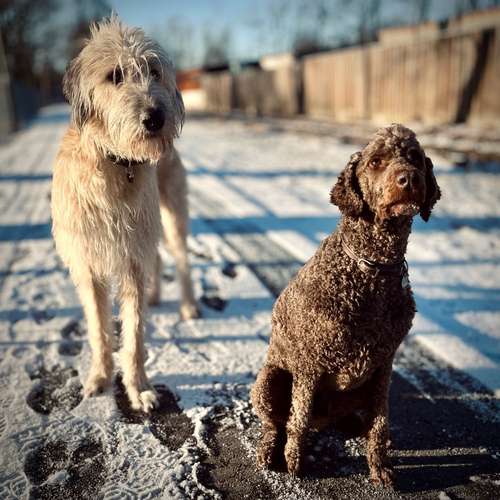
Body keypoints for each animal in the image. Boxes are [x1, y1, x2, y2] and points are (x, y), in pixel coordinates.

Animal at [51, 17, 198, 412]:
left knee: (180, 258)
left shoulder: (130, 258)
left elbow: (133, 334)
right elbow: (99, 329)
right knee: (158, 257)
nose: (156, 118)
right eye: (115, 75)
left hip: (171, 213)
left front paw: (139, 389)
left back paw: (188, 305)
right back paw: (156, 295)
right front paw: (100, 378)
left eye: (155, 71)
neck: (116, 164)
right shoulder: (89, 263)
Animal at [252, 123, 440, 486]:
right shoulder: (310, 365)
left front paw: (379, 466)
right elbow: (298, 418)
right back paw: (270, 449)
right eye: (376, 161)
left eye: (415, 158)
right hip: (269, 380)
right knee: (277, 422)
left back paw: (356, 425)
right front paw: (295, 463)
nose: (409, 178)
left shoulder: (383, 365)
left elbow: (380, 423)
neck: (371, 269)